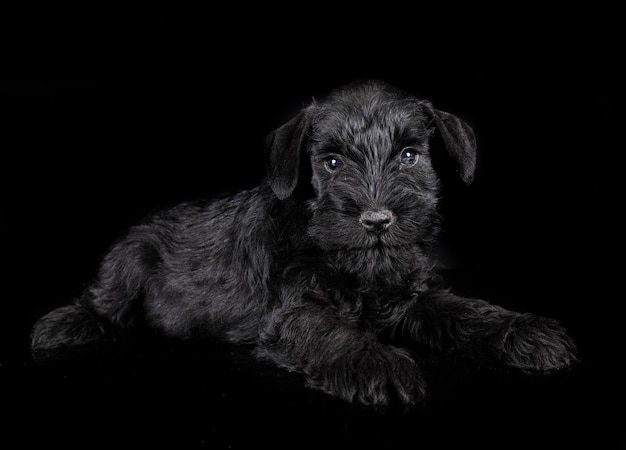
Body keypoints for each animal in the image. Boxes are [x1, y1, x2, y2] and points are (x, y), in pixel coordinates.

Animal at [30, 80, 576, 404]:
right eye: (331, 162)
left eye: (409, 155)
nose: (377, 220)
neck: (358, 269)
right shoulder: (294, 311)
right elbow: (332, 332)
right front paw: (378, 363)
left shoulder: (412, 299)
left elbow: (467, 313)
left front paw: (525, 332)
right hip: (129, 260)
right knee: (101, 301)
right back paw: (63, 325)